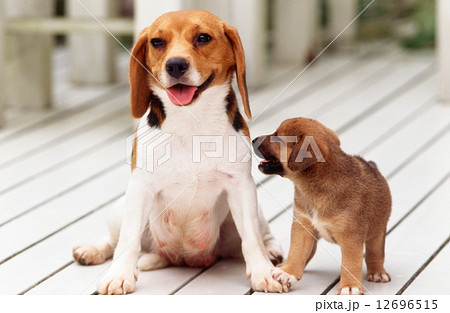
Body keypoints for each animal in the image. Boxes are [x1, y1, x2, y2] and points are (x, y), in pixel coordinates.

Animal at [73, 9, 284, 292]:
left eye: (203, 38)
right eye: (156, 42)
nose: (175, 65)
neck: (191, 121)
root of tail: (181, 258)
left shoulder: (241, 186)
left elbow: (251, 238)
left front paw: (263, 271)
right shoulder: (139, 188)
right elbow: (127, 240)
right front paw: (119, 275)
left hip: (248, 210)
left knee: (263, 235)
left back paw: (272, 252)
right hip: (121, 207)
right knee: (113, 239)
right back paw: (93, 250)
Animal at [251, 117, 392, 294]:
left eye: (277, 137)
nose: (252, 140)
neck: (314, 186)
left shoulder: (351, 237)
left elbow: (351, 263)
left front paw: (349, 286)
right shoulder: (302, 226)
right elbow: (297, 252)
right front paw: (288, 272)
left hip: (377, 233)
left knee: (375, 254)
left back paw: (377, 273)